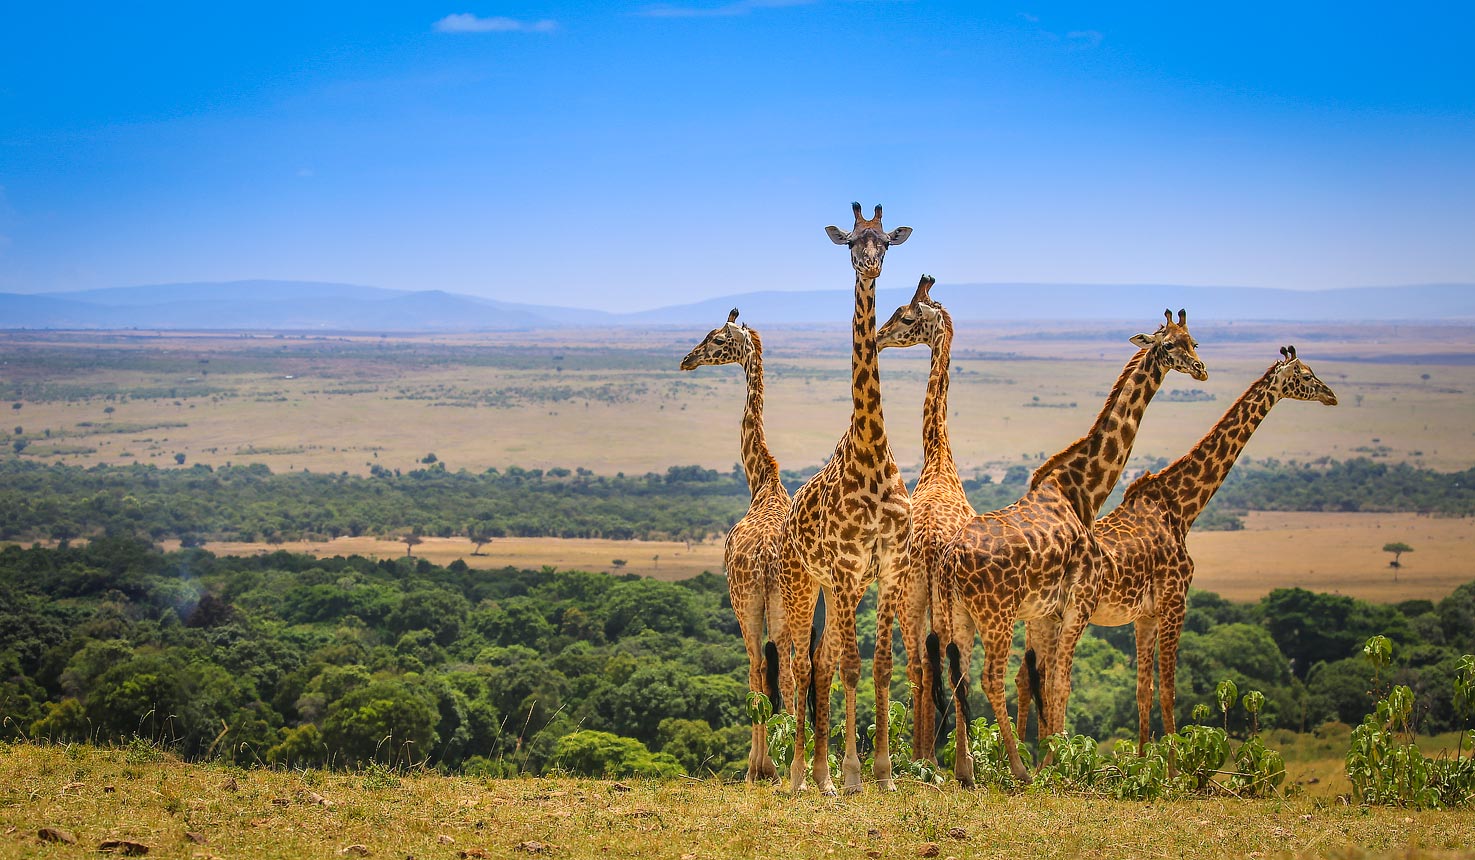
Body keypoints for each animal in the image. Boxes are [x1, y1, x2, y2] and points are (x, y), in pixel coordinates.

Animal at [938, 311, 1203, 784]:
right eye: (1170, 345)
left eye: (1193, 340)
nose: (1200, 368)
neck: (1082, 491)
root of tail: (952, 560)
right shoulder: (1077, 603)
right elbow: (1061, 682)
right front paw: (1057, 764)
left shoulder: (1050, 611)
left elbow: (1048, 681)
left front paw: (1055, 758)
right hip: (997, 614)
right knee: (989, 678)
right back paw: (1019, 770)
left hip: (960, 613)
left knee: (961, 676)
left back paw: (966, 772)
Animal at [1044, 343, 1345, 755]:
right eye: (1306, 374)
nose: (1331, 395)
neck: (1181, 507)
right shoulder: (1176, 602)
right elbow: (1170, 692)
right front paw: (1171, 766)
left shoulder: (1146, 615)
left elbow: (1143, 691)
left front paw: (1142, 762)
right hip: (1071, 615)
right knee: (1053, 682)